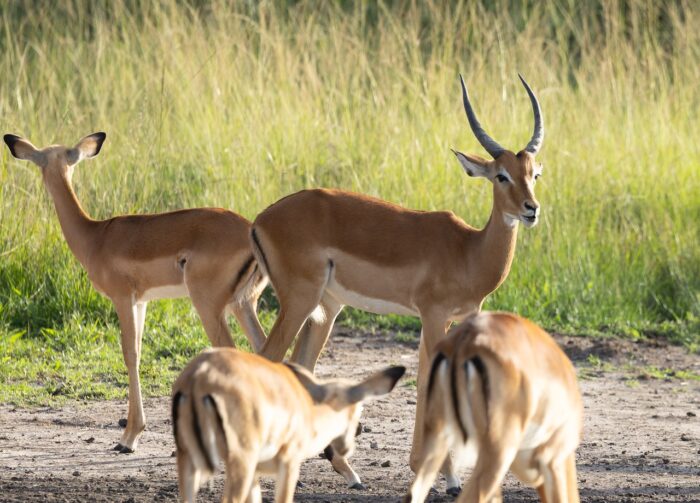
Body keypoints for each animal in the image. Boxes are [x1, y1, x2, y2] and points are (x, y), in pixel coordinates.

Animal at [3, 132, 267, 453]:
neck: (95, 237)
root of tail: (251, 231)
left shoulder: (122, 298)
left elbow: (129, 354)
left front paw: (127, 439)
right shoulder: (141, 301)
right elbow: (139, 353)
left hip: (210, 306)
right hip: (243, 305)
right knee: (263, 347)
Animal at [172, 347, 405, 503]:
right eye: (357, 410)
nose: (357, 432)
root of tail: (199, 376)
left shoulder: (256, 472)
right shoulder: (289, 463)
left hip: (189, 457)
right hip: (240, 461)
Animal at [249, 74, 545, 491]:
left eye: (533, 174)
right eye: (501, 175)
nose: (531, 209)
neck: (468, 250)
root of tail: (260, 220)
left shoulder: (447, 319)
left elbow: (423, 381)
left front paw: (424, 468)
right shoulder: (434, 316)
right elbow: (436, 384)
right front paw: (450, 478)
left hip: (326, 309)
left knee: (300, 367)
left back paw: (346, 471)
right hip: (300, 302)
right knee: (268, 359)